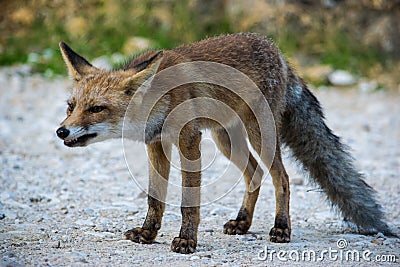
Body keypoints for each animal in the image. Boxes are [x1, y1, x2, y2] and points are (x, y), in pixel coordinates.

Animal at [56, 32, 394, 254]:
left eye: (96, 108)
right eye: (71, 107)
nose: (62, 131)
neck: (159, 99)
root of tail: (279, 52)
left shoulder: (189, 139)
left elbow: (188, 202)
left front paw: (186, 241)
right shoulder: (157, 143)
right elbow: (155, 198)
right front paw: (148, 233)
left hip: (259, 134)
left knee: (281, 178)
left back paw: (282, 228)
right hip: (225, 139)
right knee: (255, 174)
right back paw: (242, 223)